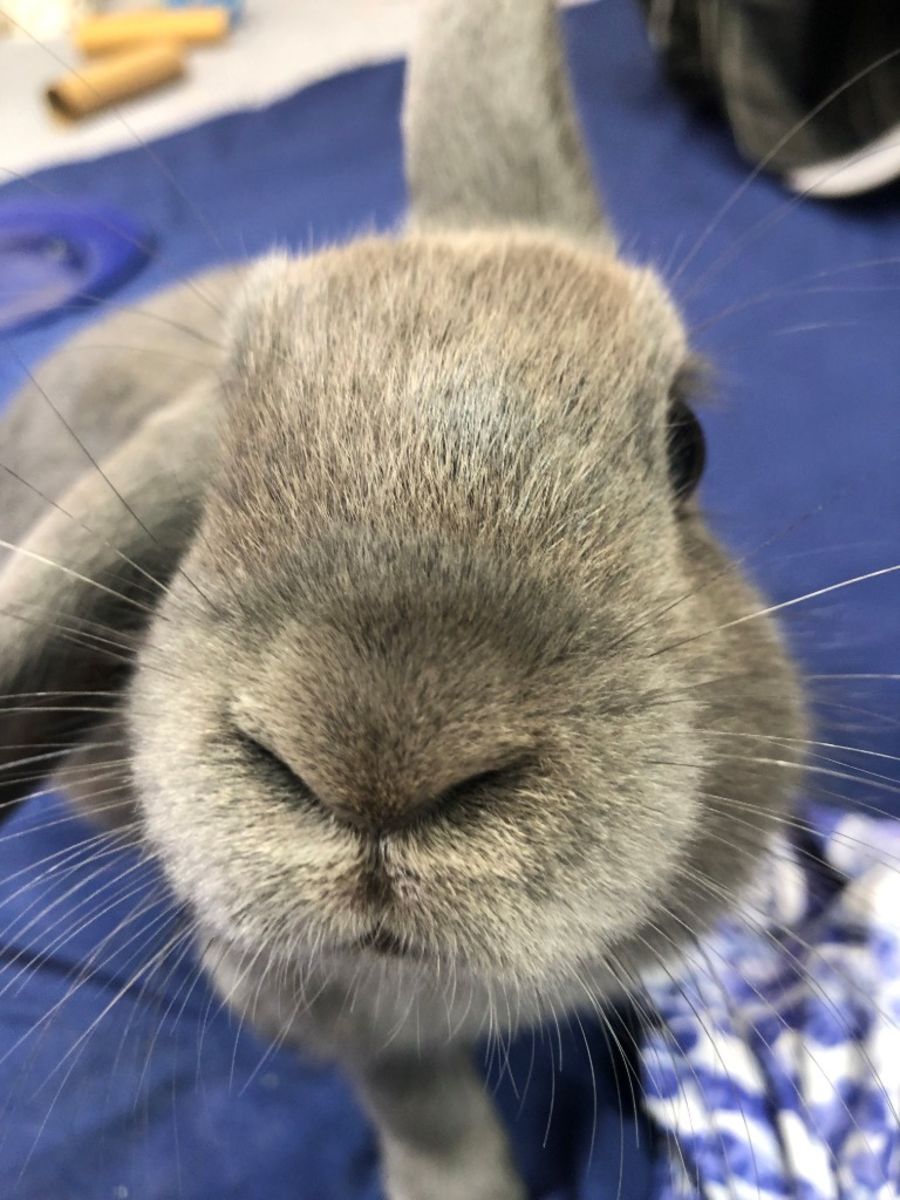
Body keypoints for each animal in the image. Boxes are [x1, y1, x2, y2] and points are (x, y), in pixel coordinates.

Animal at [0, 0, 807, 1197]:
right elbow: (424, 1104)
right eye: (217, 463)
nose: (378, 762)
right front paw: (457, 1183)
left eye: (687, 443)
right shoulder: (338, 1018)